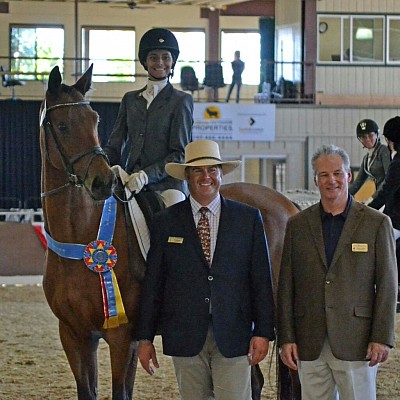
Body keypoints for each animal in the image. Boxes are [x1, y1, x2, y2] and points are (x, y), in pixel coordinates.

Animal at [39, 64, 300, 398]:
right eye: (61, 125)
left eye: (94, 121)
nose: (102, 182)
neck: (82, 236)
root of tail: (287, 204)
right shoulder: (74, 335)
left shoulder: (124, 337)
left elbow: (121, 391)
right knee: (254, 381)